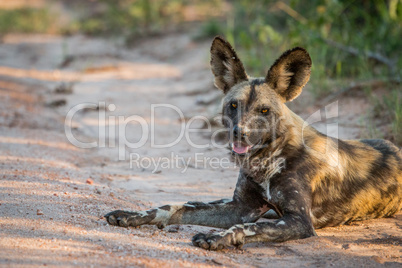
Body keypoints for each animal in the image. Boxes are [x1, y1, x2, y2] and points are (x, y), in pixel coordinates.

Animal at [104, 36, 402, 250]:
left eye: (264, 110)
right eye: (233, 105)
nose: (240, 133)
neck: (267, 160)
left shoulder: (299, 221)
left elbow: (248, 228)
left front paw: (218, 238)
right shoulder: (240, 209)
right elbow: (172, 207)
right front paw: (132, 215)